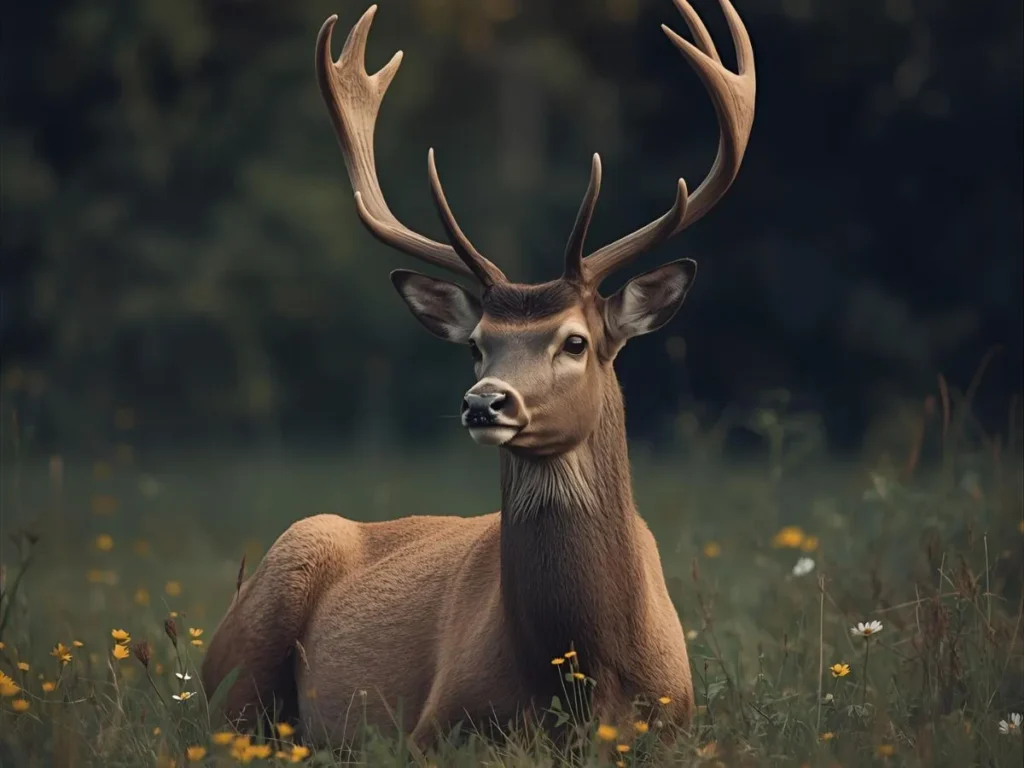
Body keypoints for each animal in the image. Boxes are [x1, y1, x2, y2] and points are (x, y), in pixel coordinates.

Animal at [201, 0, 755, 749]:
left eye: (576, 341)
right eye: (476, 346)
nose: (484, 403)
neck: (585, 678)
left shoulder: (680, 720)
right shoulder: (436, 723)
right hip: (259, 625)